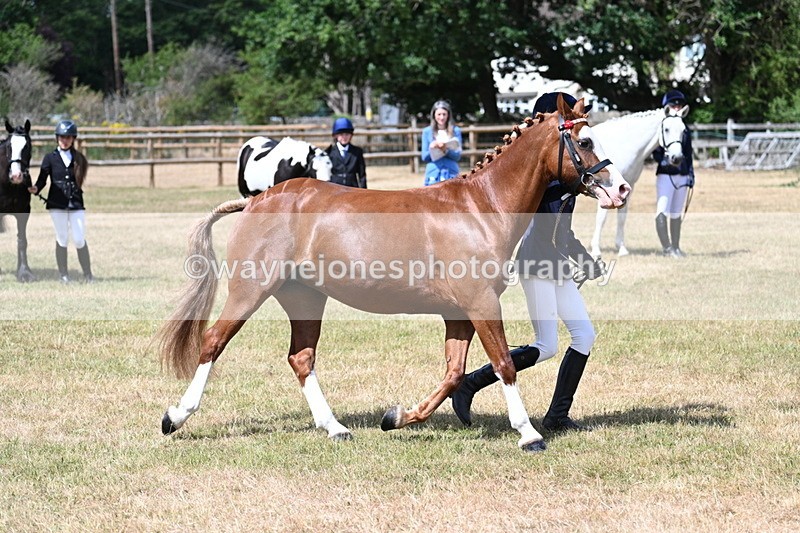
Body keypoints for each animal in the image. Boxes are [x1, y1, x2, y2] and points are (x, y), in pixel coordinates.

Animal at [157, 96, 631, 452]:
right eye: (584, 140)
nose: (621, 189)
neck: (481, 207)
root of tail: (257, 201)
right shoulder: (480, 303)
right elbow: (503, 364)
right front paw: (529, 434)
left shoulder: (459, 313)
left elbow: (454, 374)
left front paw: (397, 417)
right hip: (250, 290)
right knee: (212, 343)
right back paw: (175, 417)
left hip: (305, 298)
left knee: (301, 359)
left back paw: (335, 428)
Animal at [589, 106, 688, 257]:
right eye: (666, 129)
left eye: (683, 130)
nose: (676, 158)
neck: (623, 145)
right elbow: (601, 218)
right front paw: (596, 250)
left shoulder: (628, 186)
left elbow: (622, 217)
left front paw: (621, 248)